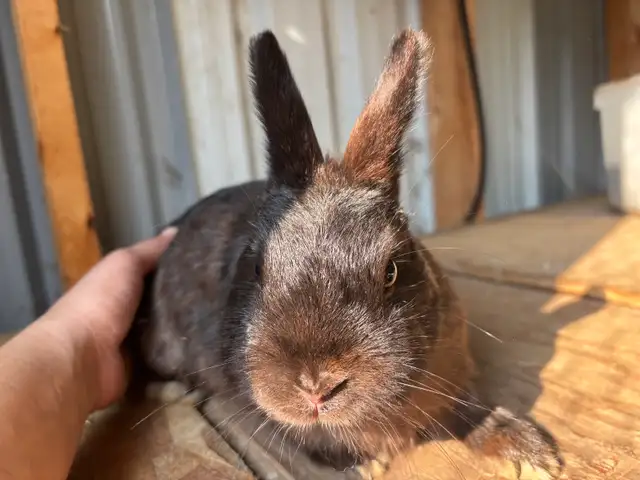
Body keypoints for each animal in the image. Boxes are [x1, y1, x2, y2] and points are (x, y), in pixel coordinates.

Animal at [132, 28, 563, 479]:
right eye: (257, 267)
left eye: (390, 271)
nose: (317, 387)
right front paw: (364, 464)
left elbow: (467, 411)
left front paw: (526, 449)